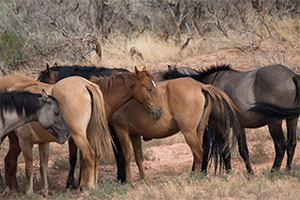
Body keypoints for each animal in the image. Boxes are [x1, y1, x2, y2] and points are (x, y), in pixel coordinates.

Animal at [162, 64, 300, 173]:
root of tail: (292, 76)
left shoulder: (221, 124)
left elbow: (224, 150)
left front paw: (228, 172)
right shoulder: (239, 126)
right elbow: (243, 150)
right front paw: (250, 172)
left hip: (274, 122)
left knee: (280, 145)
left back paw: (273, 172)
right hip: (292, 119)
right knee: (291, 144)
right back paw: (288, 170)